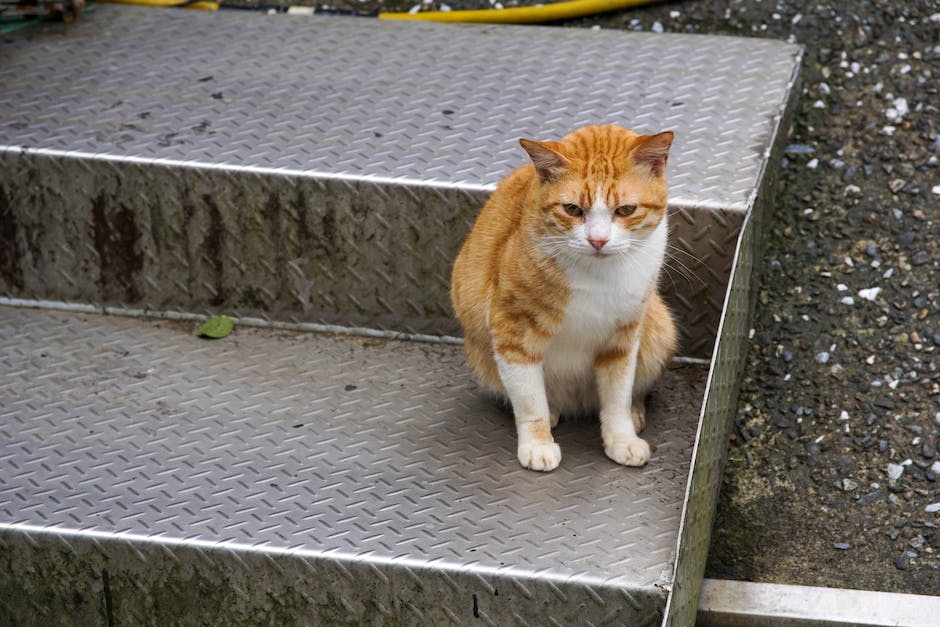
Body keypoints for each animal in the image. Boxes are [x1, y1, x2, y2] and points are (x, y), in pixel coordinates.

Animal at [450, 124, 676, 472]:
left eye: (625, 210)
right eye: (572, 209)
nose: (598, 240)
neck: (597, 276)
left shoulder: (623, 338)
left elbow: (617, 398)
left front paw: (621, 438)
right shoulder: (512, 333)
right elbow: (530, 402)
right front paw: (538, 445)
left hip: (659, 328)